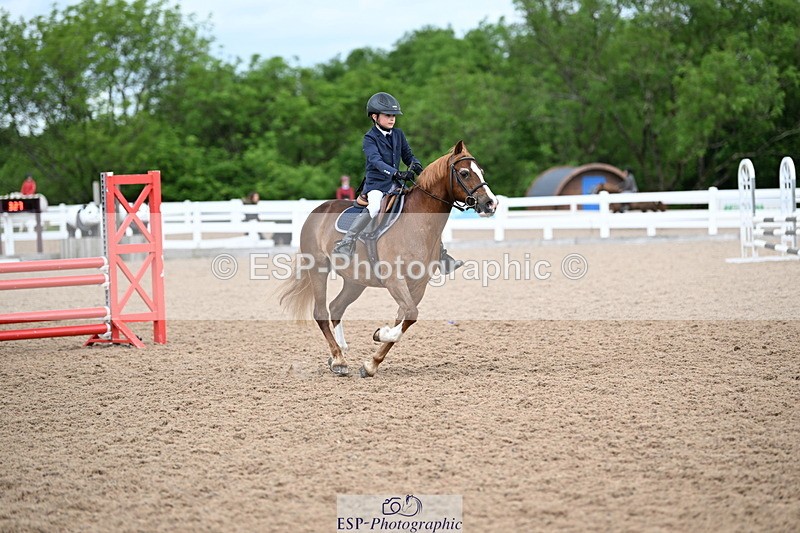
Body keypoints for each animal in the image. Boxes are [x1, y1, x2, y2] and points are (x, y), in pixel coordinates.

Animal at [279, 140, 498, 378]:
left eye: (481, 171)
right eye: (465, 173)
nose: (491, 203)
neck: (418, 224)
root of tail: (318, 209)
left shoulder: (418, 286)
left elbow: (404, 318)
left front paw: (372, 362)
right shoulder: (395, 280)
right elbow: (410, 315)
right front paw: (379, 334)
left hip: (355, 281)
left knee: (336, 308)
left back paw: (340, 350)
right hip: (318, 269)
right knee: (321, 312)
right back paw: (338, 359)